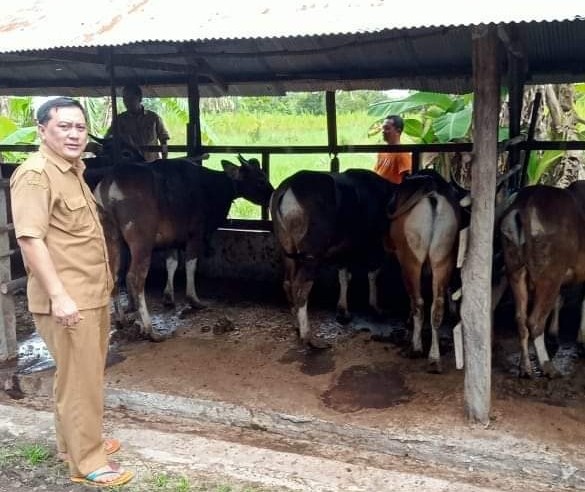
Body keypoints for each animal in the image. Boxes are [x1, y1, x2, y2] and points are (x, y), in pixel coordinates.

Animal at [94, 156, 272, 340]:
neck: (210, 187)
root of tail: (110, 183)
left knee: (113, 274)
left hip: (111, 238)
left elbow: (171, 264)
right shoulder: (196, 235)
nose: (272, 195)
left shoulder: (171, 240)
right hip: (142, 242)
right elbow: (190, 264)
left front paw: (168, 297)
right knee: (134, 278)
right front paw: (194, 299)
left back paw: (121, 320)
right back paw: (150, 330)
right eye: (261, 180)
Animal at [386, 170, 464, 372]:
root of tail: (432, 193)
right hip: (443, 258)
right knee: (437, 307)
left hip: (410, 260)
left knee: (418, 303)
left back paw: (416, 348)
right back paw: (434, 358)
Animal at [496, 184, 584, 376]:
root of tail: (524, 206)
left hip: (515, 269)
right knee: (535, 321)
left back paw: (525, 368)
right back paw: (547, 366)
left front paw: (555, 336)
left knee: (521, 319)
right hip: (549, 274)